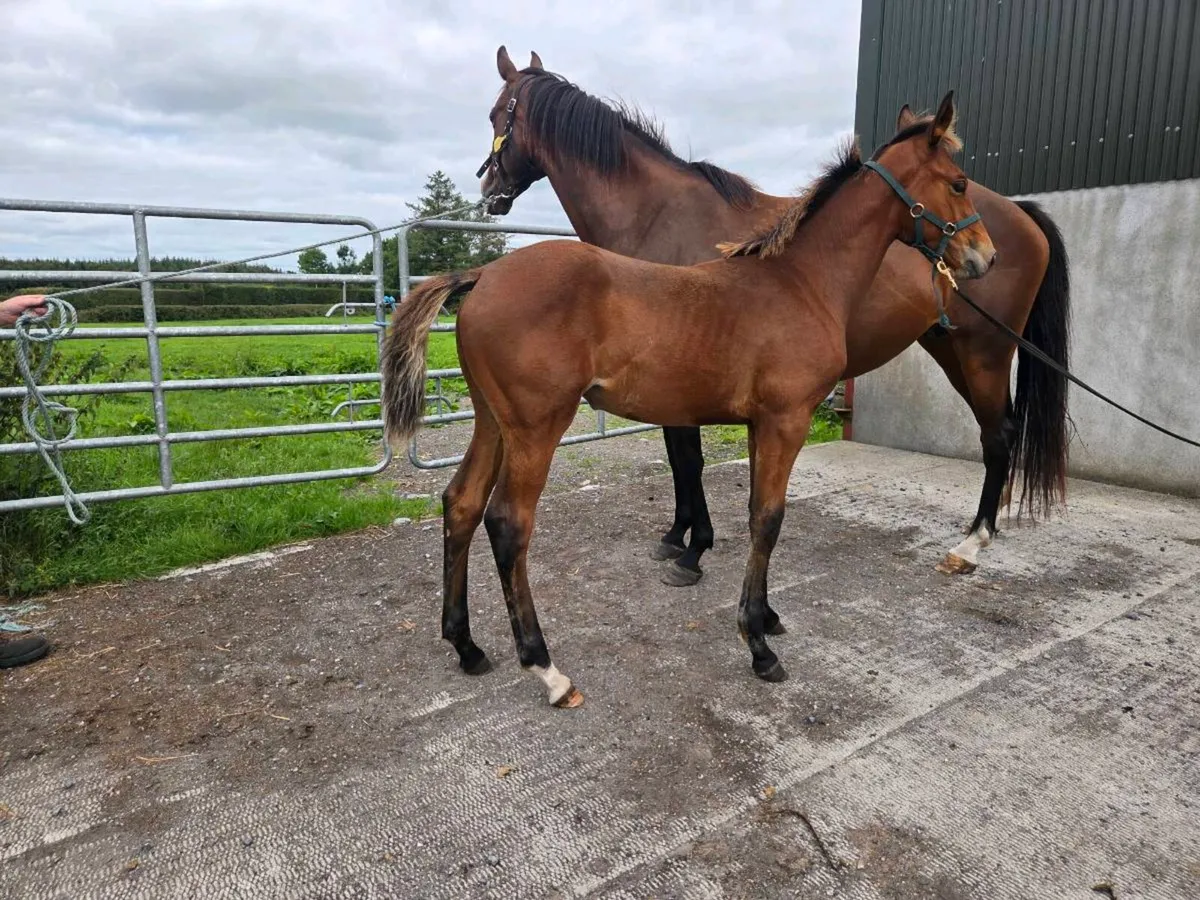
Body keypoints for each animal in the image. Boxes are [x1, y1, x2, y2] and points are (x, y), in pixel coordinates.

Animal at [383, 93, 996, 707]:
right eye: (959, 182)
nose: (984, 259)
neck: (801, 282)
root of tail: (483, 275)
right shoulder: (787, 421)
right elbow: (768, 518)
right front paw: (758, 644)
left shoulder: (760, 423)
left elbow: (754, 513)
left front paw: (765, 615)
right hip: (536, 427)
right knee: (509, 523)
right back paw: (548, 670)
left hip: (492, 421)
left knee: (461, 503)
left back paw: (467, 646)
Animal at [475, 47, 1070, 584]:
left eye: (497, 113)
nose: (489, 190)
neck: (659, 215)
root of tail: (1020, 214)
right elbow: (678, 459)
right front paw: (677, 537)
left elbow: (687, 460)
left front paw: (694, 549)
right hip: (950, 348)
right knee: (1001, 432)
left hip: (983, 352)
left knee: (999, 434)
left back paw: (973, 541)